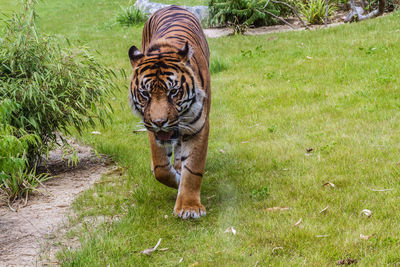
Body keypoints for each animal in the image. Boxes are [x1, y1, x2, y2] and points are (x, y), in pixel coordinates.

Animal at [129, 5, 211, 220]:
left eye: (173, 92)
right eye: (145, 94)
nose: (160, 122)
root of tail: (172, 6)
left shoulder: (198, 126)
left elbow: (193, 168)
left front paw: (189, 207)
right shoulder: (150, 127)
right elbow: (161, 168)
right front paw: (176, 179)